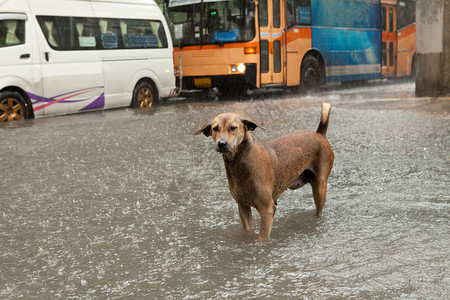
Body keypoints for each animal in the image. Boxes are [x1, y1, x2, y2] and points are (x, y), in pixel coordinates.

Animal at [194, 103, 334, 239]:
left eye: (233, 128)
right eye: (215, 129)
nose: (221, 144)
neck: (241, 163)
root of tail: (319, 134)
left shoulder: (267, 209)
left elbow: (262, 238)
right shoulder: (242, 207)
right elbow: (248, 231)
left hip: (320, 188)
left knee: (319, 208)